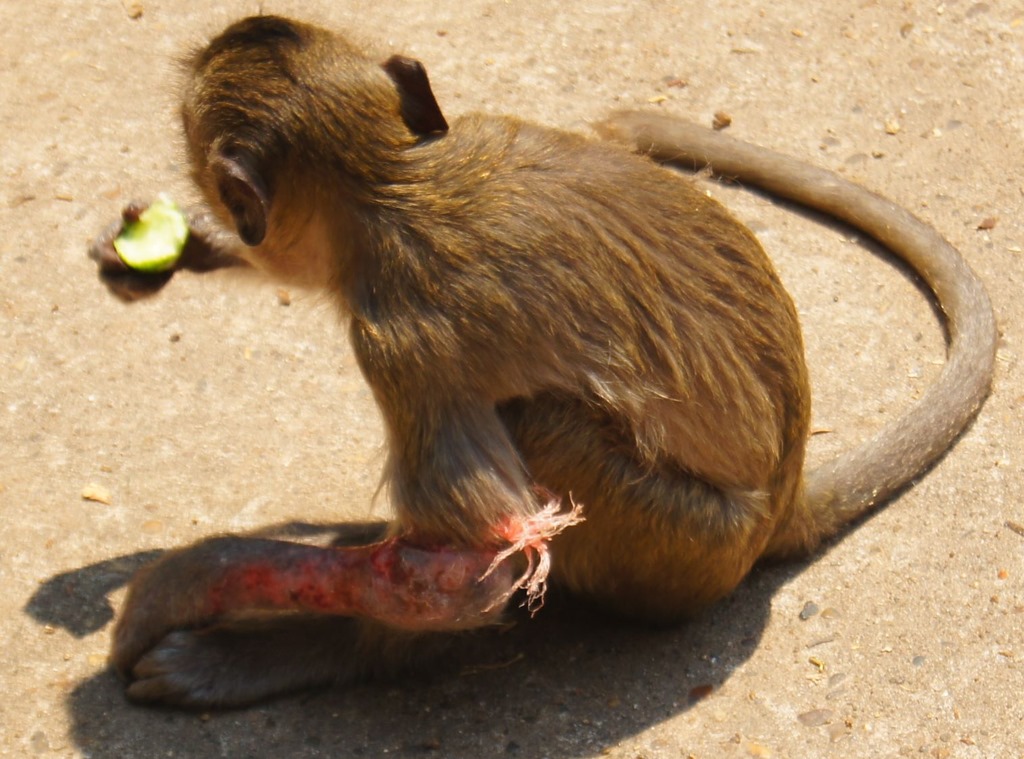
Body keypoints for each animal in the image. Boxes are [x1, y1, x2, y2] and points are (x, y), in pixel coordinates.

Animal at [87, 15, 997, 707]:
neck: (395, 177)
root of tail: (784, 500)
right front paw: (175, 253)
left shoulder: (395, 336)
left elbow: (482, 556)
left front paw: (233, 619)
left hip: (678, 541)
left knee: (539, 425)